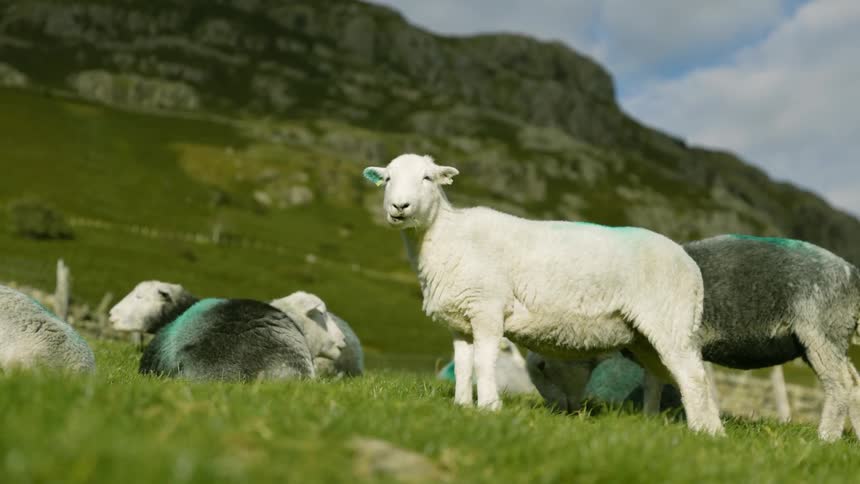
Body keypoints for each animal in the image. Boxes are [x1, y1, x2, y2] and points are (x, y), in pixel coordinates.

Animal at [363, 153, 722, 435]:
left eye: (427, 178)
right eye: (388, 178)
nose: (399, 207)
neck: (449, 235)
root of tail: (689, 264)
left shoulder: (487, 308)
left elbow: (483, 361)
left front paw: (489, 406)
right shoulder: (460, 321)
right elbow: (464, 366)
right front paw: (462, 406)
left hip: (670, 318)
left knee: (692, 376)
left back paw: (702, 431)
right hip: (645, 336)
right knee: (662, 375)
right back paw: (676, 424)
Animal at [525, 235, 860, 441]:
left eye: (542, 366)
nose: (558, 413)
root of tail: (851, 272)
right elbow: (654, 382)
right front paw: (649, 421)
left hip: (820, 329)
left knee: (840, 385)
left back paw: (826, 438)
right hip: (828, 334)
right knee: (854, 383)